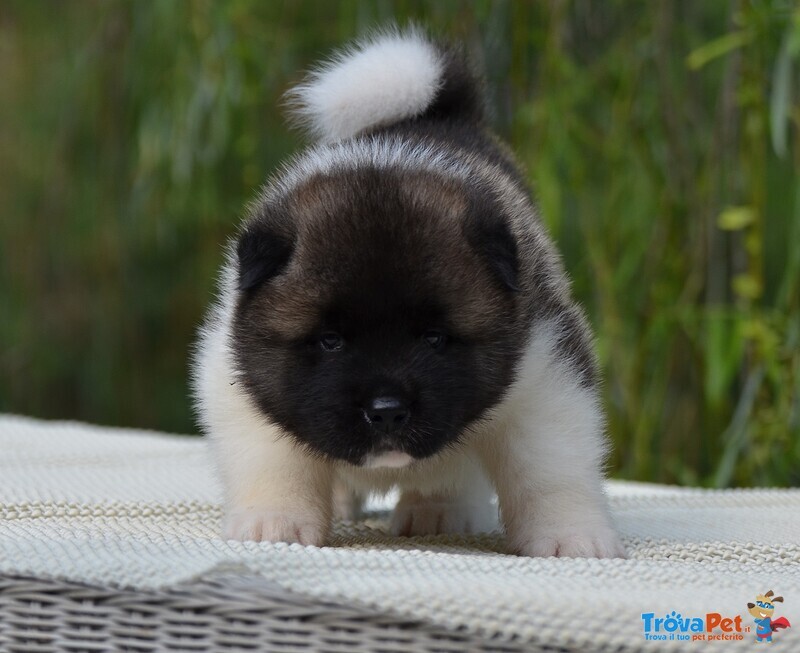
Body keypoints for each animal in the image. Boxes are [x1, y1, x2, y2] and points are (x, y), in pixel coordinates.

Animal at [194, 30, 624, 556]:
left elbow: (552, 466)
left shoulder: (544, 376)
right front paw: (273, 522)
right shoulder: (240, 380)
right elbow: (274, 459)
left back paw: (435, 509)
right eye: (330, 341)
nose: (386, 412)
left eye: (435, 339)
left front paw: (572, 536)